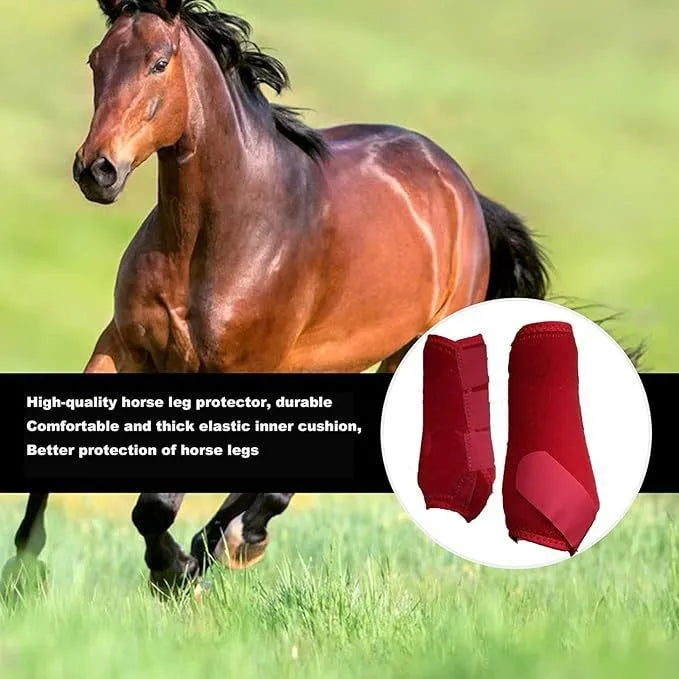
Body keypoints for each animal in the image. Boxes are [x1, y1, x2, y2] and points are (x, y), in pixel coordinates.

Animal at [2, 0, 548, 595]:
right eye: (96, 60)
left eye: (159, 62)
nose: (96, 170)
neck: (213, 237)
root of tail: (462, 190)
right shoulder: (125, 347)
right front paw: (22, 573)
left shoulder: (232, 370)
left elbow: (156, 506)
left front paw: (172, 570)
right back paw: (224, 542)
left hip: (404, 353)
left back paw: (232, 542)